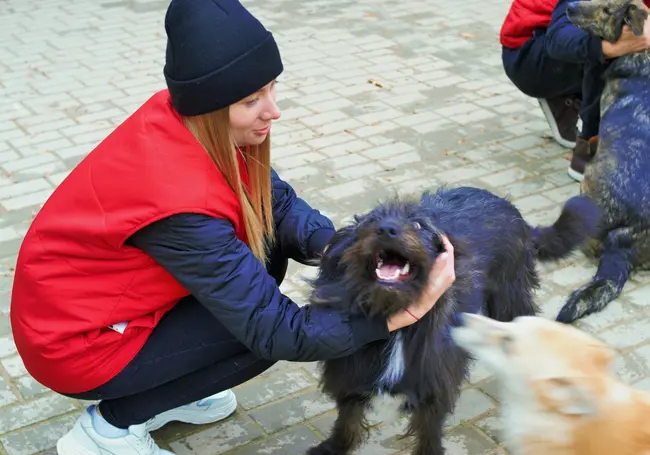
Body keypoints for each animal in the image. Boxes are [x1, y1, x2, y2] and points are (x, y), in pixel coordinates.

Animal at [306, 186, 600, 455]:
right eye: (371, 221)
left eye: (418, 224)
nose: (387, 229)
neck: (394, 317)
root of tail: (508, 207)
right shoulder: (349, 369)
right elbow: (348, 418)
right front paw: (334, 447)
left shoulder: (435, 383)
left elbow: (429, 430)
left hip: (509, 299)